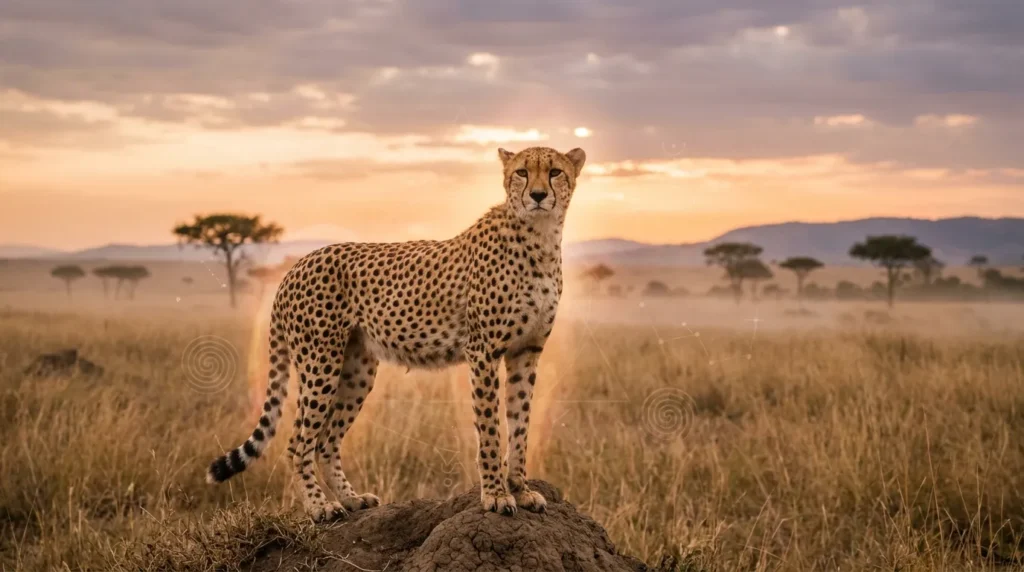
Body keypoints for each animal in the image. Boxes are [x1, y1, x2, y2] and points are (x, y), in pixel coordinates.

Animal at [205, 145, 587, 521]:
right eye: (522, 172)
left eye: (555, 172)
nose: (538, 195)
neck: (540, 237)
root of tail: (295, 266)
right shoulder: (484, 352)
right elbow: (490, 429)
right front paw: (494, 494)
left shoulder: (526, 352)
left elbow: (520, 425)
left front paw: (521, 490)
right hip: (320, 364)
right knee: (298, 443)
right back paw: (320, 506)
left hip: (356, 369)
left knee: (326, 441)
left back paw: (351, 499)